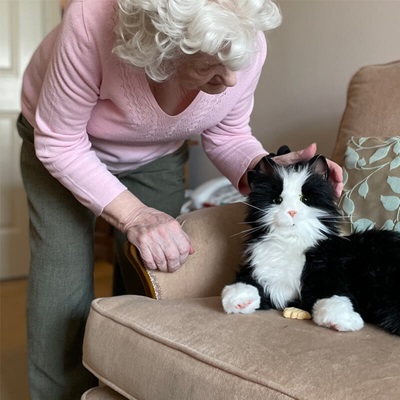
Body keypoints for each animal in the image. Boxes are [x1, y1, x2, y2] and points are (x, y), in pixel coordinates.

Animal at [222, 153, 400, 334]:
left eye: (305, 199)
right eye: (277, 199)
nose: (292, 212)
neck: (290, 239)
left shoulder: (329, 270)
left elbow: (331, 294)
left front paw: (344, 320)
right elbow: (246, 282)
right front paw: (238, 300)